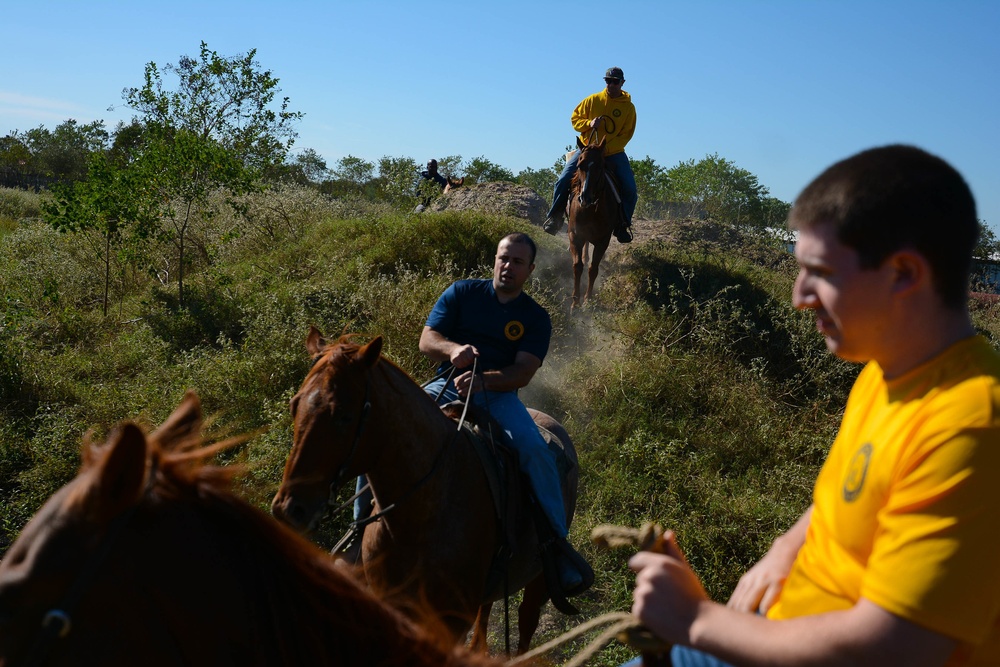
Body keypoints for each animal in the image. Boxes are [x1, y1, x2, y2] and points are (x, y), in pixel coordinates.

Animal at [268, 332, 580, 656]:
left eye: (343, 415)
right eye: (294, 405)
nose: (289, 508)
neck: (421, 516)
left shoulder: (451, 620)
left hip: (539, 580)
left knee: (526, 623)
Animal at [568, 138, 612, 310]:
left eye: (600, 166)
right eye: (580, 164)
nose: (585, 198)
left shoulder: (603, 241)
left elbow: (593, 269)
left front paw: (587, 300)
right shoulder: (575, 236)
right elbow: (577, 266)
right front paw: (575, 302)